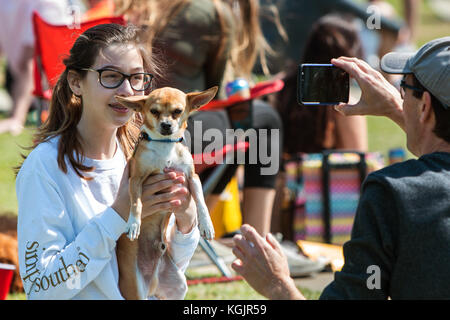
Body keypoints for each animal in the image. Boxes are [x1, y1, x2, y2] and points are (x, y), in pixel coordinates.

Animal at [114, 86, 216, 298]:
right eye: (154, 111)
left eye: (177, 111)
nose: (166, 125)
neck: (165, 146)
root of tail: (153, 282)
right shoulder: (135, 180)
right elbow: (136, 203)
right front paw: (133, 224)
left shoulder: (192, 178)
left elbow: (201, 202)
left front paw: (206, 225)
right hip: (135, 290)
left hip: (177, 287)